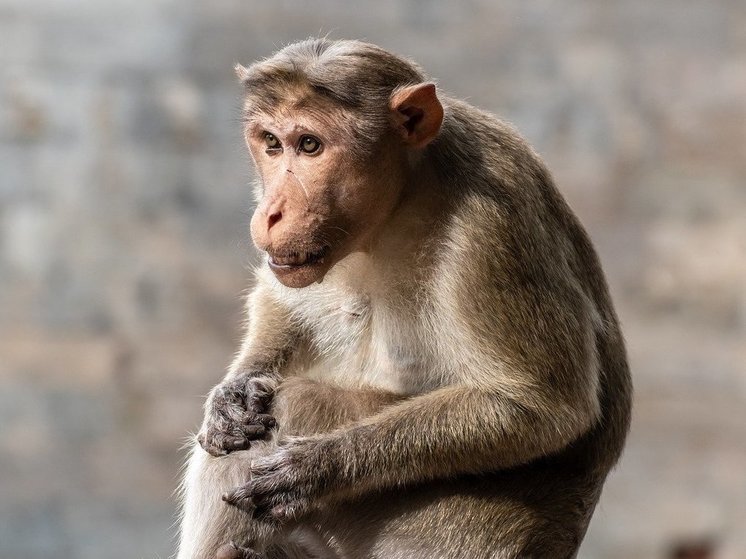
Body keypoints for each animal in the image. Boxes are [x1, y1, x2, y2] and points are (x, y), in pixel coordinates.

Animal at [174, 38, 628, 559]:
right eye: (271, 142)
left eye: (309, 145)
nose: (270, 212)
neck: (404, 198)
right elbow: (282, 301)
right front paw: (234, 392)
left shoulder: (494, 226)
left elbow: (545, 405)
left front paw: (316, 469)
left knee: (294, 405)